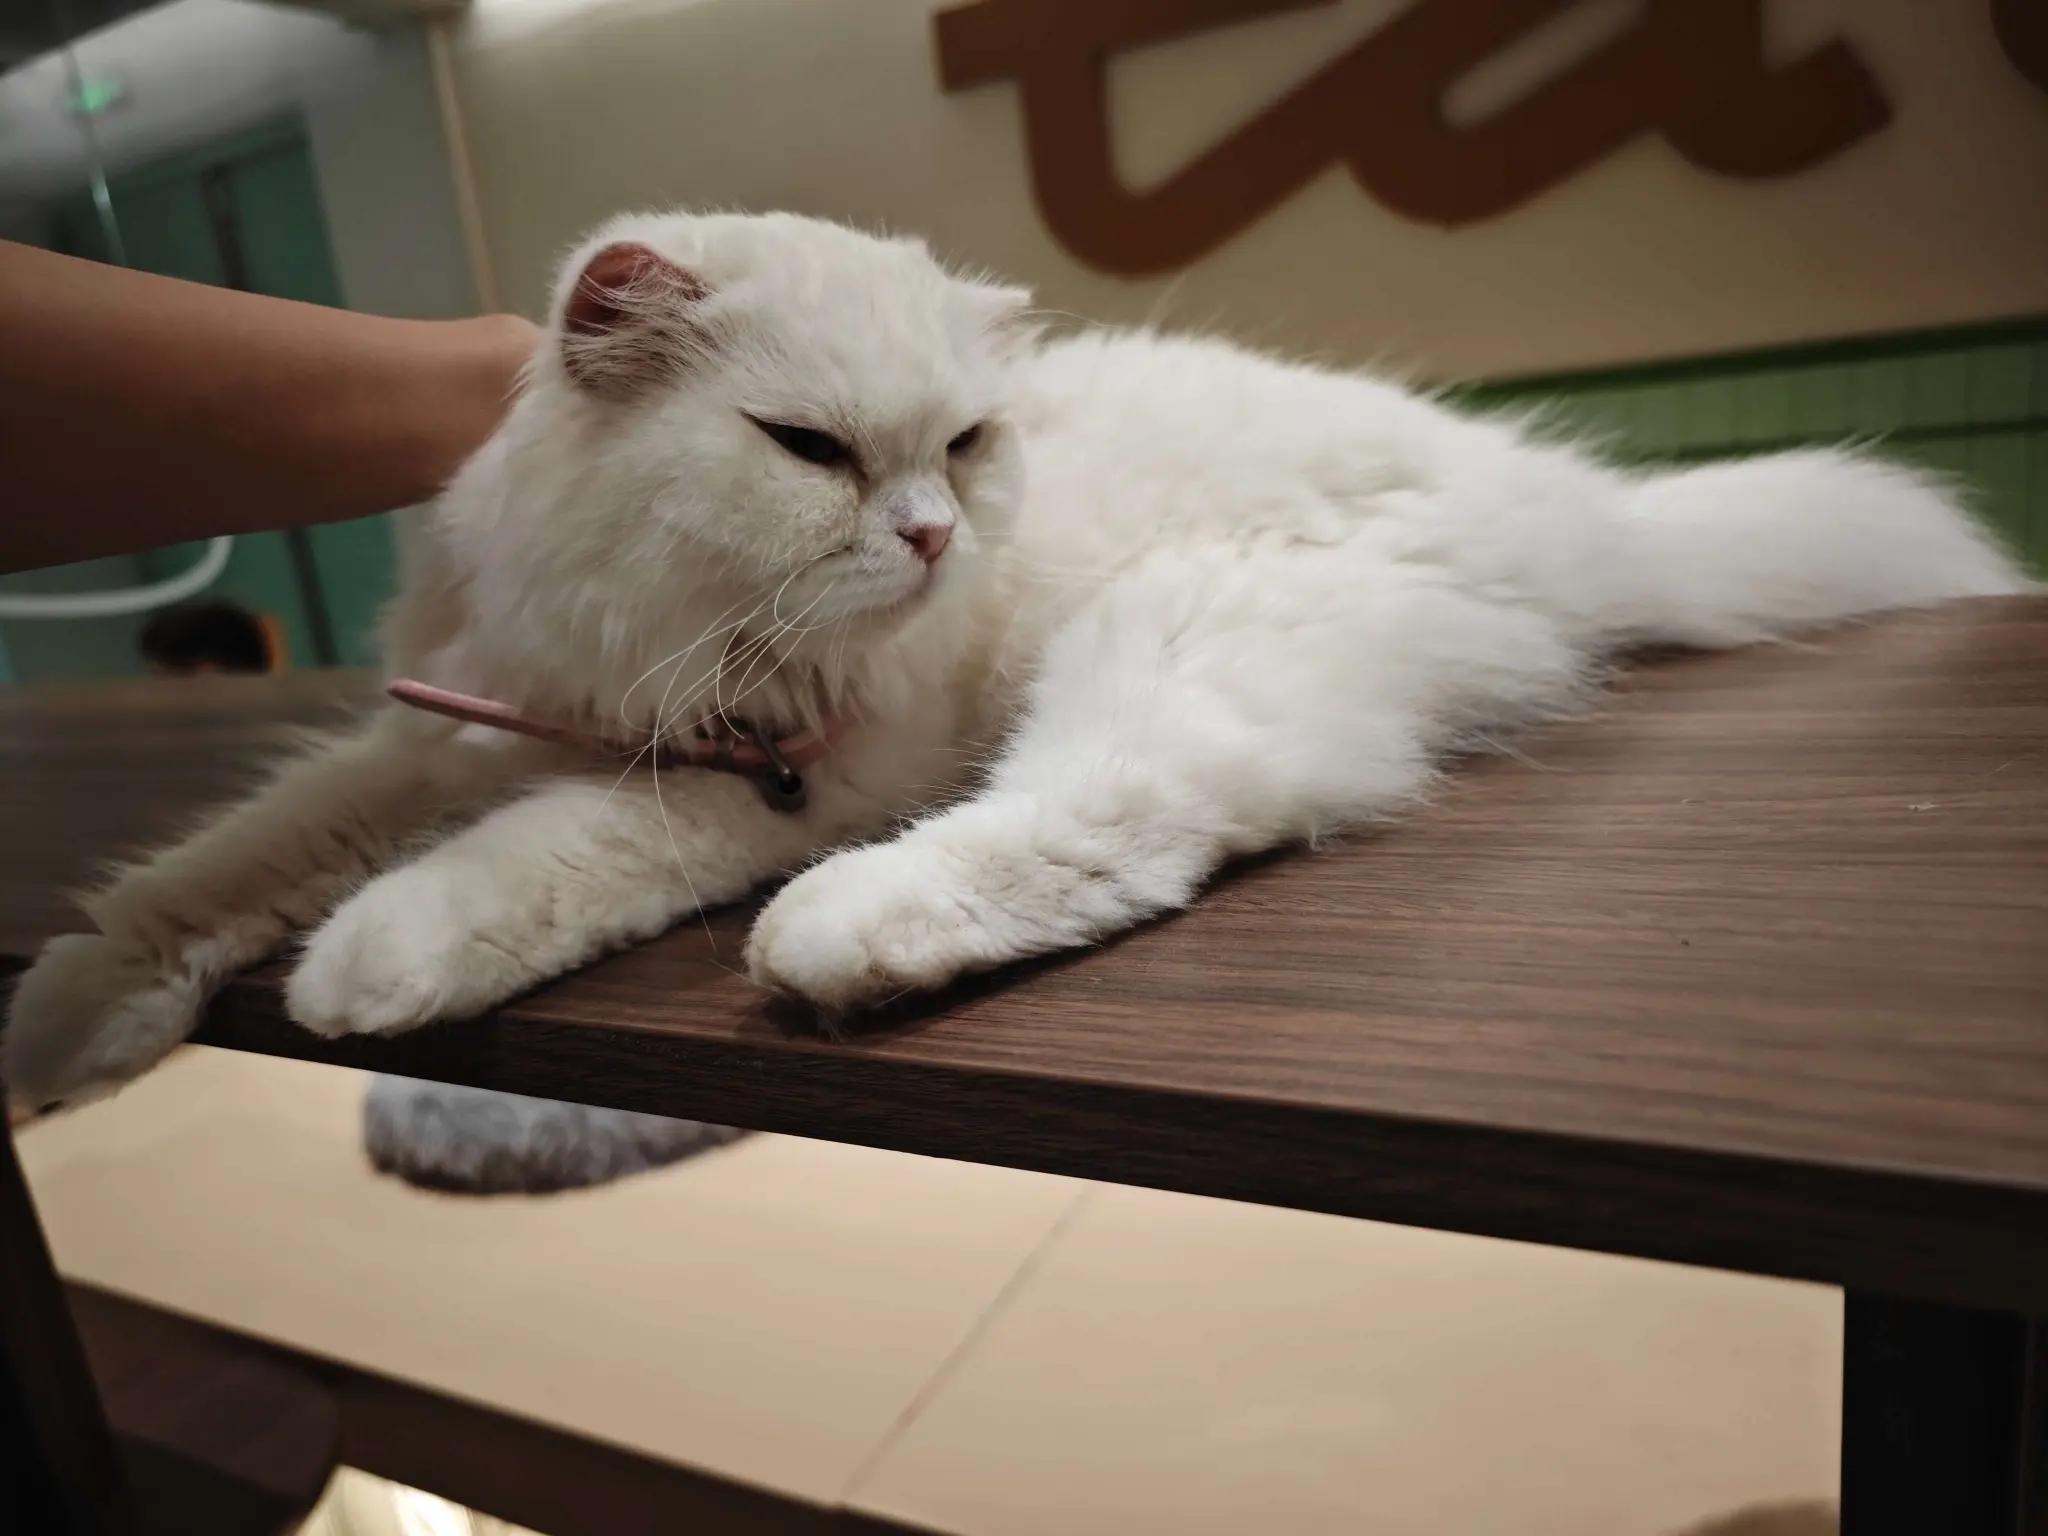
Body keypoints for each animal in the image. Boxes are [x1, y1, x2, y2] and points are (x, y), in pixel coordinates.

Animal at [2, 210, 2026, 1115]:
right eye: (812, 451)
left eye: (961, 447)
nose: (927, 537)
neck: (639, 629)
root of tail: (1584, 505)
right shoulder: (457, 718)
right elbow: (220, 864)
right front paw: (72, 1020)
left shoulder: (781, 774)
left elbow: (531, 863)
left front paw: (373, 967)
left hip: (1175, 643)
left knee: (1127, 824)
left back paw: (843, 941)